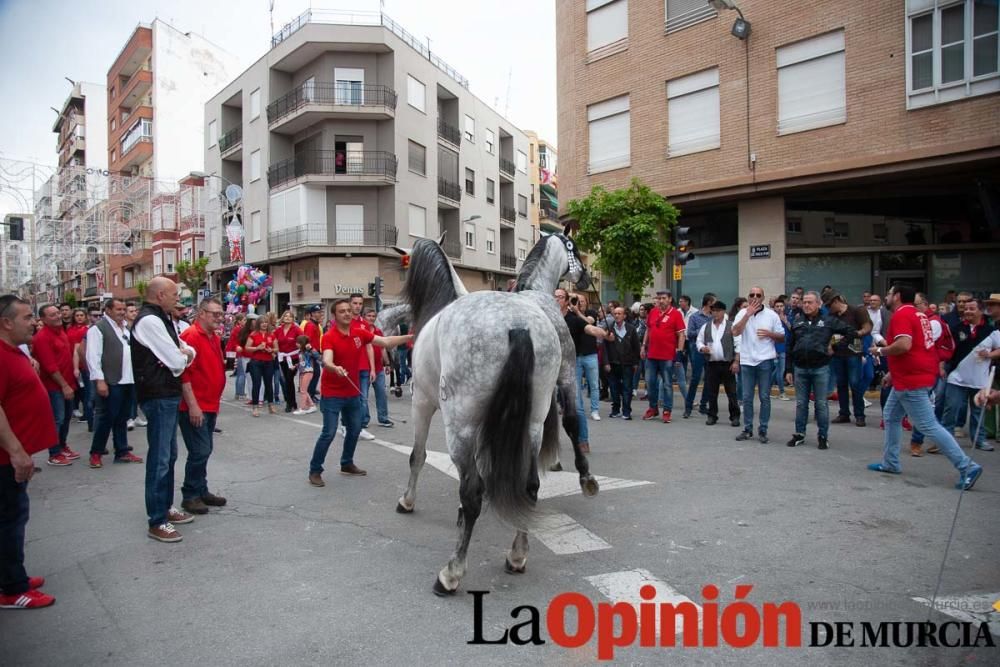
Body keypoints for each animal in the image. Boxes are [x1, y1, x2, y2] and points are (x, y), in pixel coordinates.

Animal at [396, 234, 600, 596]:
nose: (586, 279)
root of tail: (516, 325)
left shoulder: (421, 402)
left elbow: (417, 457)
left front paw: (407, 501)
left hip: (461, 426)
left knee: (473, 493)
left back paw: (451, 573)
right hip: (532, 419)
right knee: (531, 484)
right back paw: (517, 554)